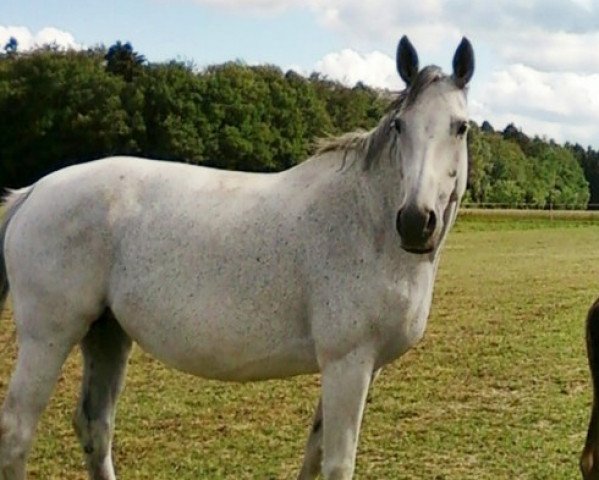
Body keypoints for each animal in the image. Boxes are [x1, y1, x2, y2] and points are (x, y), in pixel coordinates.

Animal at [0, 37, 476, 480]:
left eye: (461, 127)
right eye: (399, 125)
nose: (415, 222)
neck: (366, 222)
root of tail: (34, 192)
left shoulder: (360, 368)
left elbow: (314, 452)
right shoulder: (347, 363)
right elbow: (337, 463)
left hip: (107, 335)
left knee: (95, 427)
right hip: (49, 338)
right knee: (18, 431)